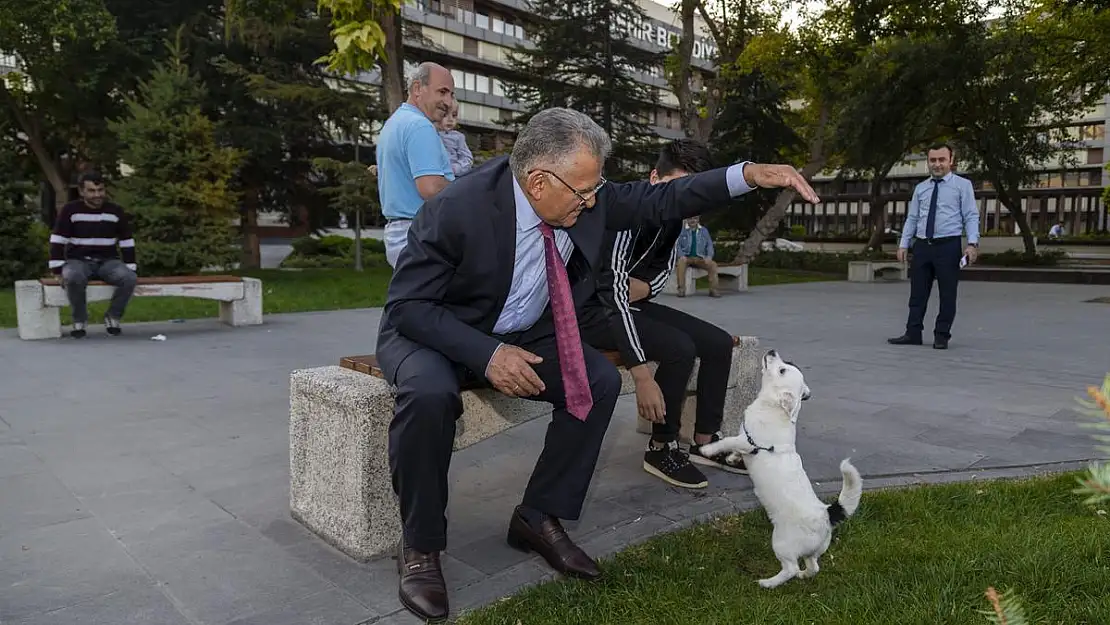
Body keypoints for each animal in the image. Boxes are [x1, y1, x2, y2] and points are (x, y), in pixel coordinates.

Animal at [697, 350, 861, 590]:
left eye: (783, 369)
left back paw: (768, 582)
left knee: (790, 568)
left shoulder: (746, 441)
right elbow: (735, 449)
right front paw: (732, 458)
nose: (772, 351)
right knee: (813, 567)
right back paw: (803, 575)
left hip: (782, 544)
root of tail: (826, 514)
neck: (773, 407)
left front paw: (708, 449)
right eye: (787, 364)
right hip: (814, 551)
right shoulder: (745, 441)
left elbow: (727, 441)